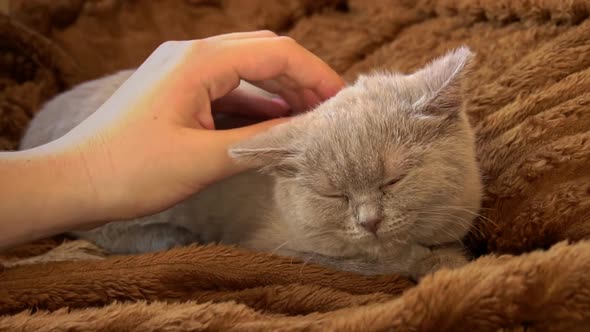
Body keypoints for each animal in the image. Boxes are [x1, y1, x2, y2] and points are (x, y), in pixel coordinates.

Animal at [20, 46, 484, 280]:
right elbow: (377, 263)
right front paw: (439, 264)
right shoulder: (273, 247)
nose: (369, 221)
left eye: (393, 180)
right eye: (333, 194)